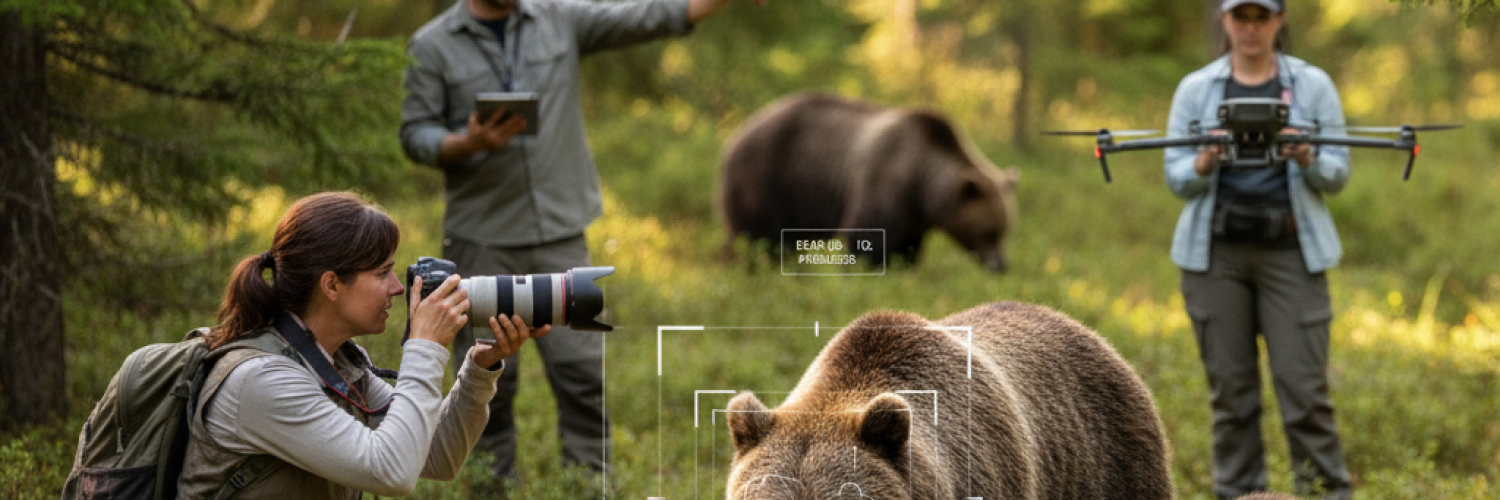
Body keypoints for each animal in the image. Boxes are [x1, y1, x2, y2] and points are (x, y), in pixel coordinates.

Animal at [717, 93, 1019, 272]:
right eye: (989, 231)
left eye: (1005, 230)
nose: (1001, 265)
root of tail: (734, 136)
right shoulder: (885, 182)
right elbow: (867, 239)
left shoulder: (913, 220)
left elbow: (907, 251)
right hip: (768, 181)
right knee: (757, 238)